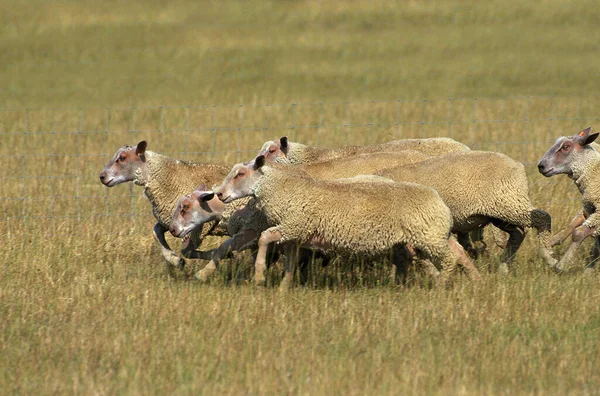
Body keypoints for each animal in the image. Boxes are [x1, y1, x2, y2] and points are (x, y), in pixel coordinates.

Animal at [213, 156, 480, 290]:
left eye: (240, 174)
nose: (220, 194)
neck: (283, 189)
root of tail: (438, 199)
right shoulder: (294, 234)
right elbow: (290, 261)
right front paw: (284, 287)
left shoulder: (294, 226)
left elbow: (264, 237)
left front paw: (259, 276)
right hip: (434, 233)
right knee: (457, 251)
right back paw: (475, 280)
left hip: (428, 236)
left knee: (449, 258)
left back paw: (442, 284)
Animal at [376, 150, 556, 274]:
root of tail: (517, 165)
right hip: (498, 213)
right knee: (518, 233)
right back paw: (504, 265)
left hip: (509, 203)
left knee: (542, 218)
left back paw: (548, 255)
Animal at [536, 127, 600, 272]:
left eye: (565, 146)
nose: (541, 166)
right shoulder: (589, 209)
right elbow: (573, 225)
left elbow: (578, 233)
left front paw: (562, 265)